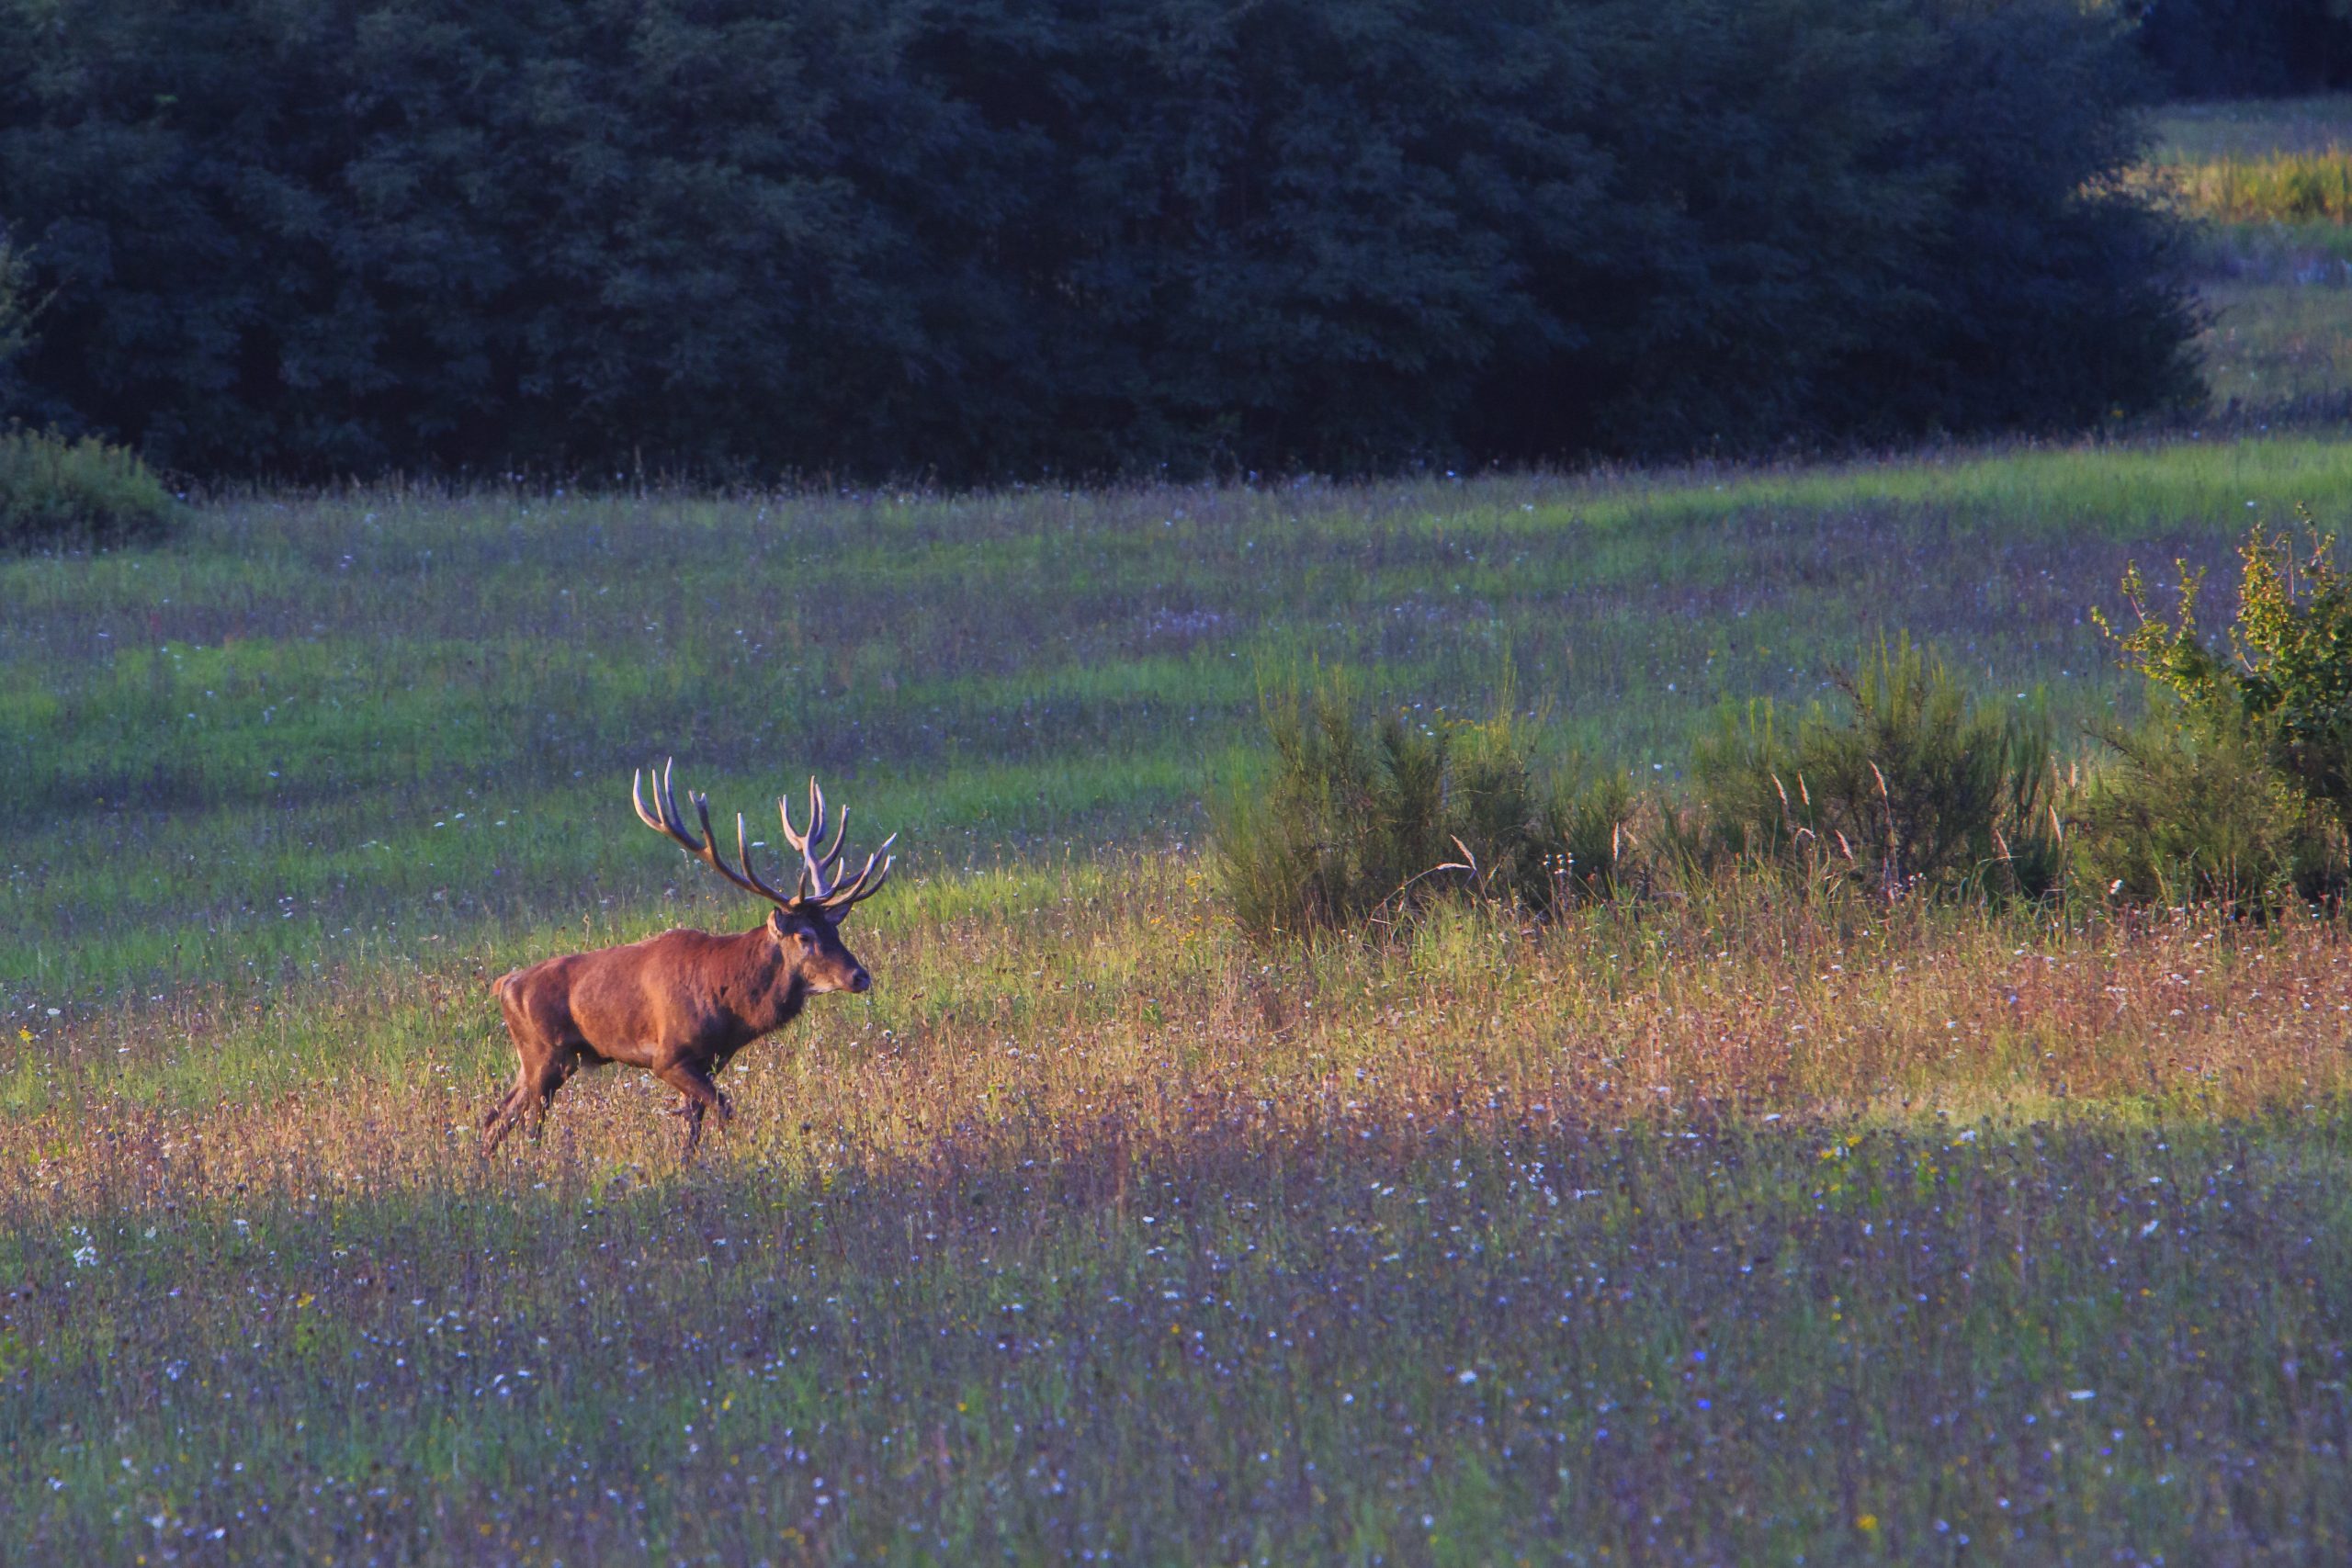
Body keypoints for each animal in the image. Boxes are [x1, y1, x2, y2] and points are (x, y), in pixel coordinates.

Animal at [482, 761, 895, 1158]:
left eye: (835, 930)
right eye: (805, 936)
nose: (860, 976)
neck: (731, 1007)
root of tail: (505, 984)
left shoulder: (713, 1059)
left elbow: (694, 1125)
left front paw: (689, 1165)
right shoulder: (669, 1057)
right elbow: (724, 1109)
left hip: (541, 1059)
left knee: (496, 1117)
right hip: (544, 1053)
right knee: (530, 1125)